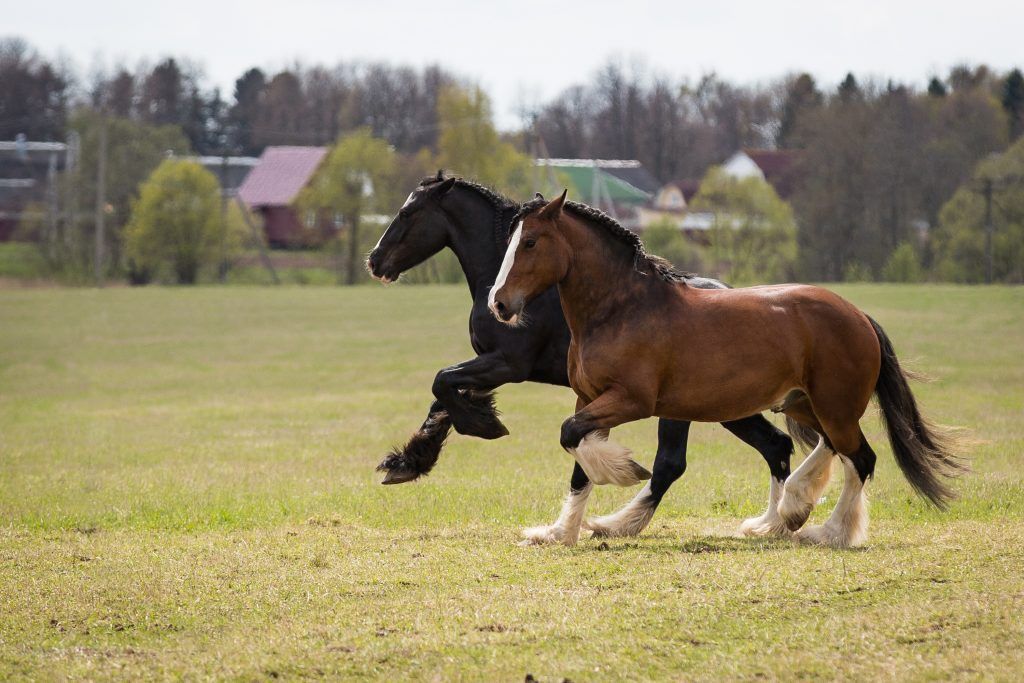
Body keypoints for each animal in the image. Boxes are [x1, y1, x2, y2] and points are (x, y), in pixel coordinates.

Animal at [368, 175, 790, 544]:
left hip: (684, 405)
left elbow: (442, 382)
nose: (375, 261)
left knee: (672, 463)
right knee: (776, 445)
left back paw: (617, 523)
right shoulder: (492, 364)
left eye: (407, 212)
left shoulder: (508, 364)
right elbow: (443, 398)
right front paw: (408, 461)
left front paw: (482, 425)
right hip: (725, 403)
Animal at [487, 192, 958, 548]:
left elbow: (573, 437)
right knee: (822, 447)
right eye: (510, 241)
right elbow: (578, 459)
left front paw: (622, 473)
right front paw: (559, 532)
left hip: (834, 406)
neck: (621, 309)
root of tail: (858, 315)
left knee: (860, 457)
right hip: (803, 404)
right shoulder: (588, 398)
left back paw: (828, 531)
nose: (499, 304)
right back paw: (783, 514)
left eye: (531, 243)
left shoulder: (631, 401)